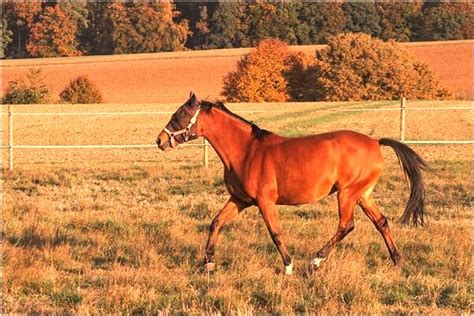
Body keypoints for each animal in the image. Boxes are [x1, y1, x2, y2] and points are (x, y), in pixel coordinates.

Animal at [157, 93, 428, 274]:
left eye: (180, 115)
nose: (160, 140)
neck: (247, 151)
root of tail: (374, 142)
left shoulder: (265, 202)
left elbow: (275, 233)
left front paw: (288, 266)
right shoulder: (240, 200)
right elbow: (216, 222)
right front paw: (208, 263)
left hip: (347, 194)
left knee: (346, 225)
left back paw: (316, 261)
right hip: (363, 194)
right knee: (381, 222)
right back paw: (397, 260)